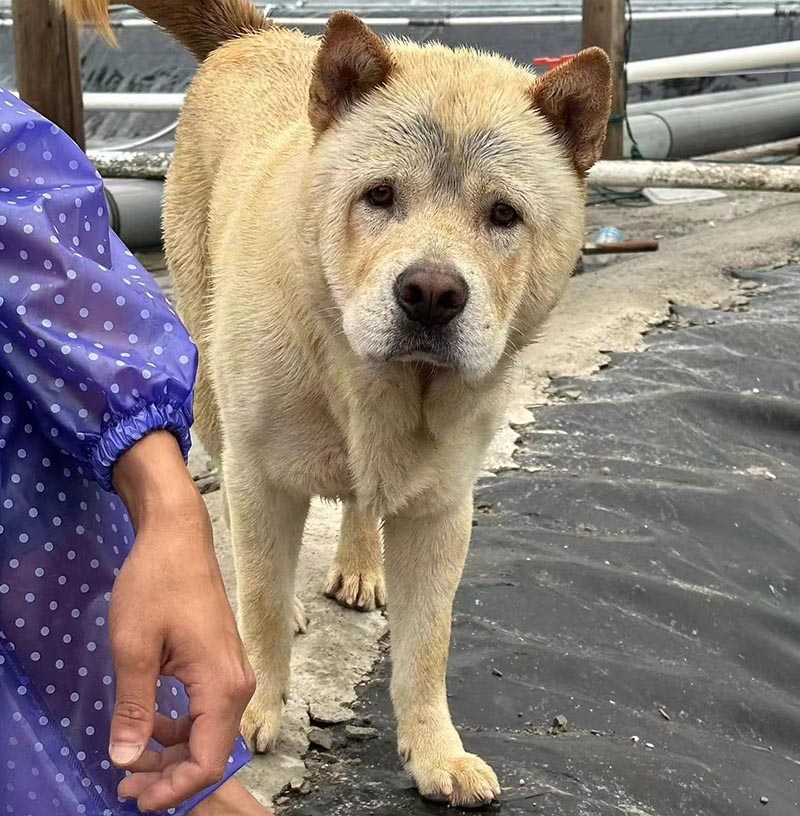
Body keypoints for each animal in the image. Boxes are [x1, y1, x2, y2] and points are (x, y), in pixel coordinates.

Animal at [62, 0, 612, 804]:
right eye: (379, 195)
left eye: (504, 214)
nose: (431, 292)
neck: (380, 386)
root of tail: (256, 35)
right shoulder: (261, 476)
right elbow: (260, 600)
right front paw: (253, 707)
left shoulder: (443, 508)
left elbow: (427, 644)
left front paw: (435, 751)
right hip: (209, 379)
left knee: (362, 500)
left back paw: (361, 564)